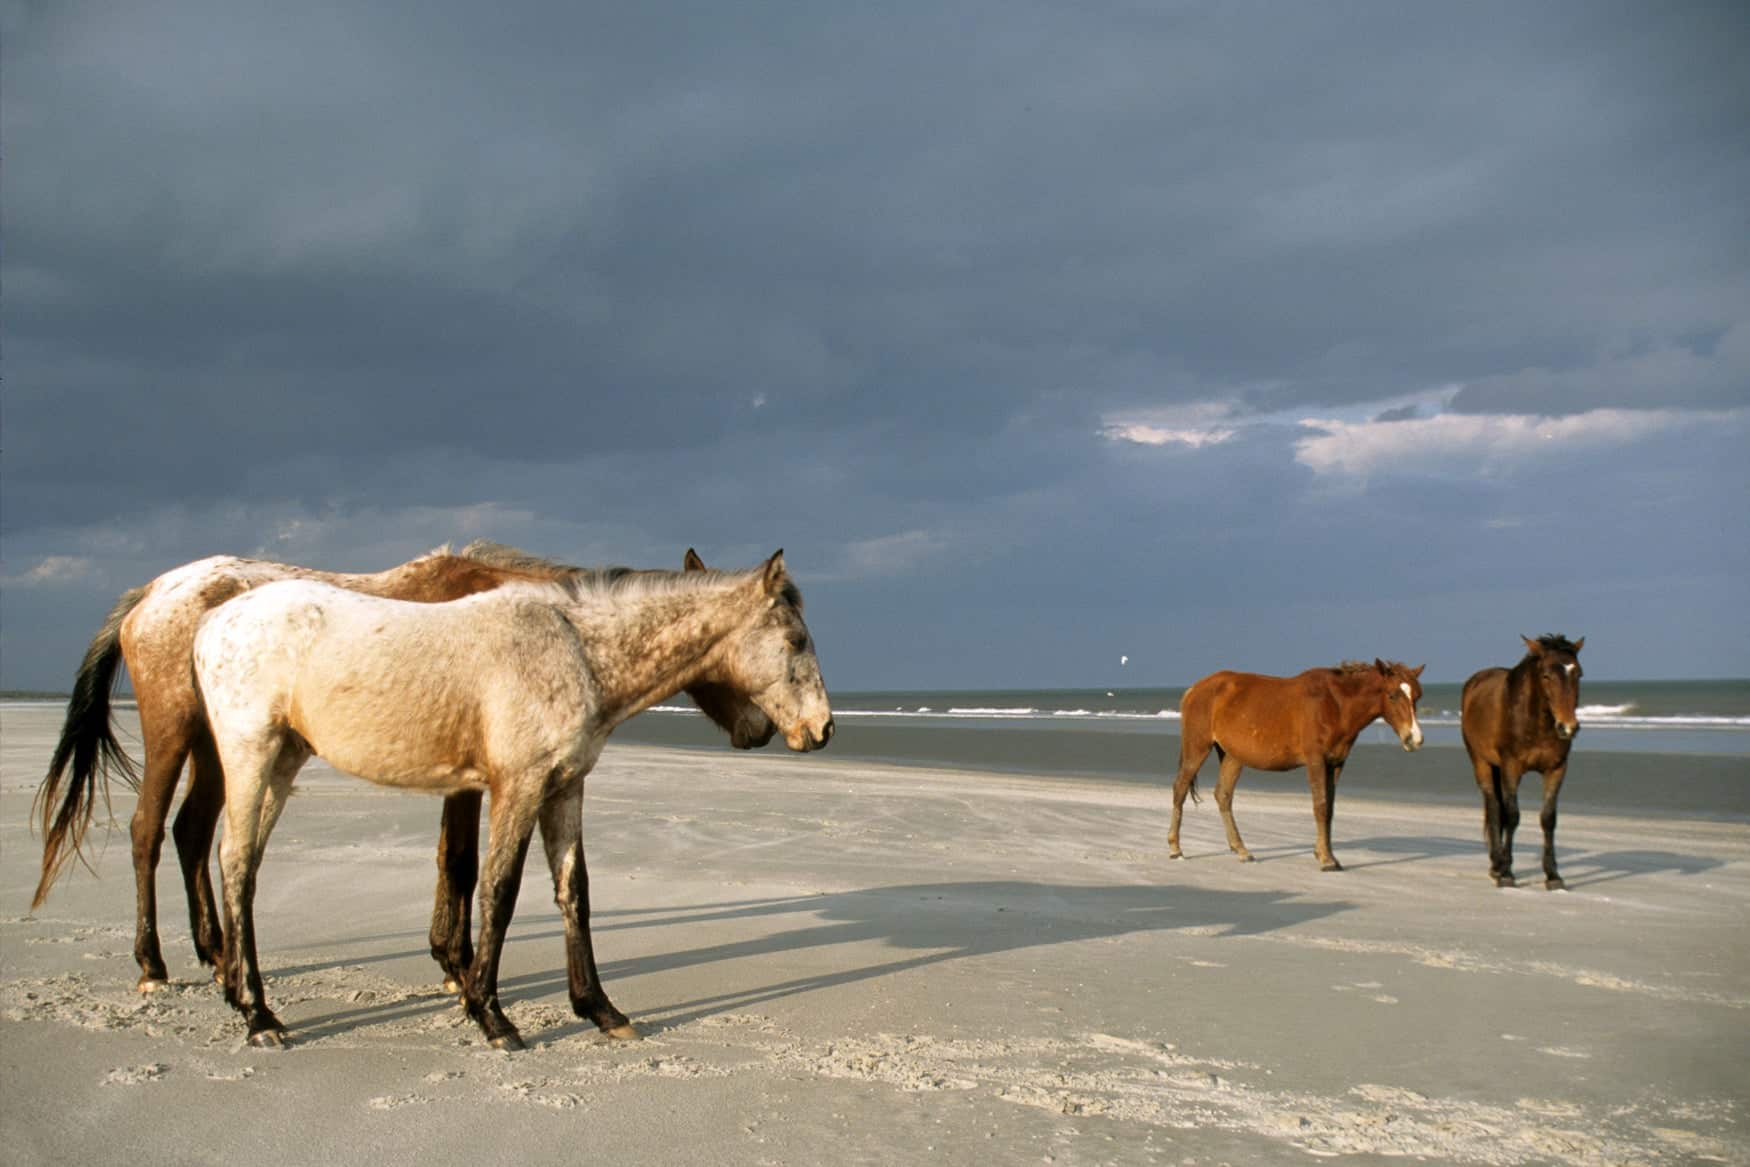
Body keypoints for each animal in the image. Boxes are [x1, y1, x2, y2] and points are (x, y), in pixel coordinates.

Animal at [31, 543, 773, 995]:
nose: (762, 730)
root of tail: (152, 591)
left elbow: (458, 861)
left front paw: (451, 960)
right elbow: (463, 862)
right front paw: (458, 966)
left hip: (225, 750)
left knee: (191, 832)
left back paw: (219, 957)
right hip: (176, 736)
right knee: (148, 832)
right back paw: (154, 963)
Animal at [191, 550, 832, 1050]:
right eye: (796, 640)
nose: (822, 729)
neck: (576, 650)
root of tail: (213, 620)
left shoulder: (565, 787)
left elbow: (575, 893)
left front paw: (601, 1010)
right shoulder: (517, 788)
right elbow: (499, 892)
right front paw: (491, 1016)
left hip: (284, 762)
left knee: (239, 864)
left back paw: (242, 997)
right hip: (252, 757)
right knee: (237, 864)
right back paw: (260, 1017)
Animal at [1168, 660, 1425, 871]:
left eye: (1417, 696)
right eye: (1392, 695)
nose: (1414, 739)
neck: (1335, 704)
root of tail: (1195, 689)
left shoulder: (1335, 764)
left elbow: (1329, 809)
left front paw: (1327, 854)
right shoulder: (1316, 761)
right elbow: (1320, 806)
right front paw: (1326, 860)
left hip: (1232, 756)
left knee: (1223, 795)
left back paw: (1241, 850)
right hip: (1197, 749)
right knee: (1180, 789)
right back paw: (1175, 849)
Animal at [1459, 635, 1584, 889]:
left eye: (1578, 674)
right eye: (1546, 675)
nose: (1568, 727)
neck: (1535, 722)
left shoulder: (1556, 769)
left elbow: (1548, 818)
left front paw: (1553, 876)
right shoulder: (1511, 768)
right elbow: (1512, 815)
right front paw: (1507, 874)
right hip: (1481, 763)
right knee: (1494, 806)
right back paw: (1497, 865)